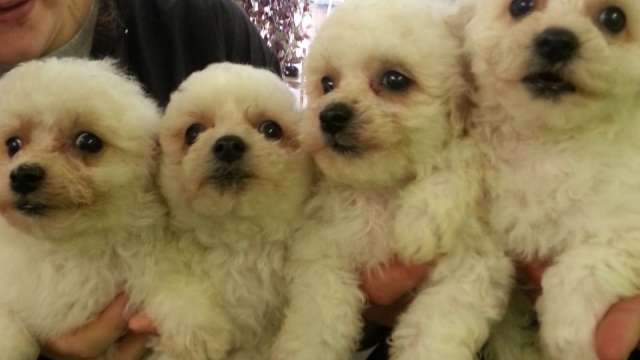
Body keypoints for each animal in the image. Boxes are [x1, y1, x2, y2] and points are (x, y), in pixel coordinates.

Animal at [272, 0, 512, 360]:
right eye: (327, 83)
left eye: (395, 79)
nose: (330, 116)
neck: (382, 190)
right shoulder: (321, 251)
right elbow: (318, 320)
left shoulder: (469, 265)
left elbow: (434, 330)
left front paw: (422, 219)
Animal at [462, 1, 640, 358]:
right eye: (520, 6)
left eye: (614, 18)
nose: (557, 41)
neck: (549, 140)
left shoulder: (627, 231)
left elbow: (582, 269)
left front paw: (568, 335)